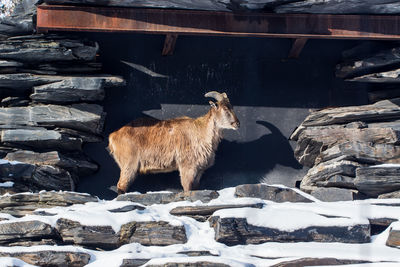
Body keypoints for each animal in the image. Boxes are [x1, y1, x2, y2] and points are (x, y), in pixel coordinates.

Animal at [108, 92, 239, 195]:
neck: (202, 132)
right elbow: (187, 188)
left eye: (231, 107)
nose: (237, 123)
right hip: (129, 165)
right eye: (225, 109)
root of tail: (113, 136)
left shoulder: (199, 170)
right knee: (121, 186)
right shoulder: (187, 167)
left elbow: (195, 188)